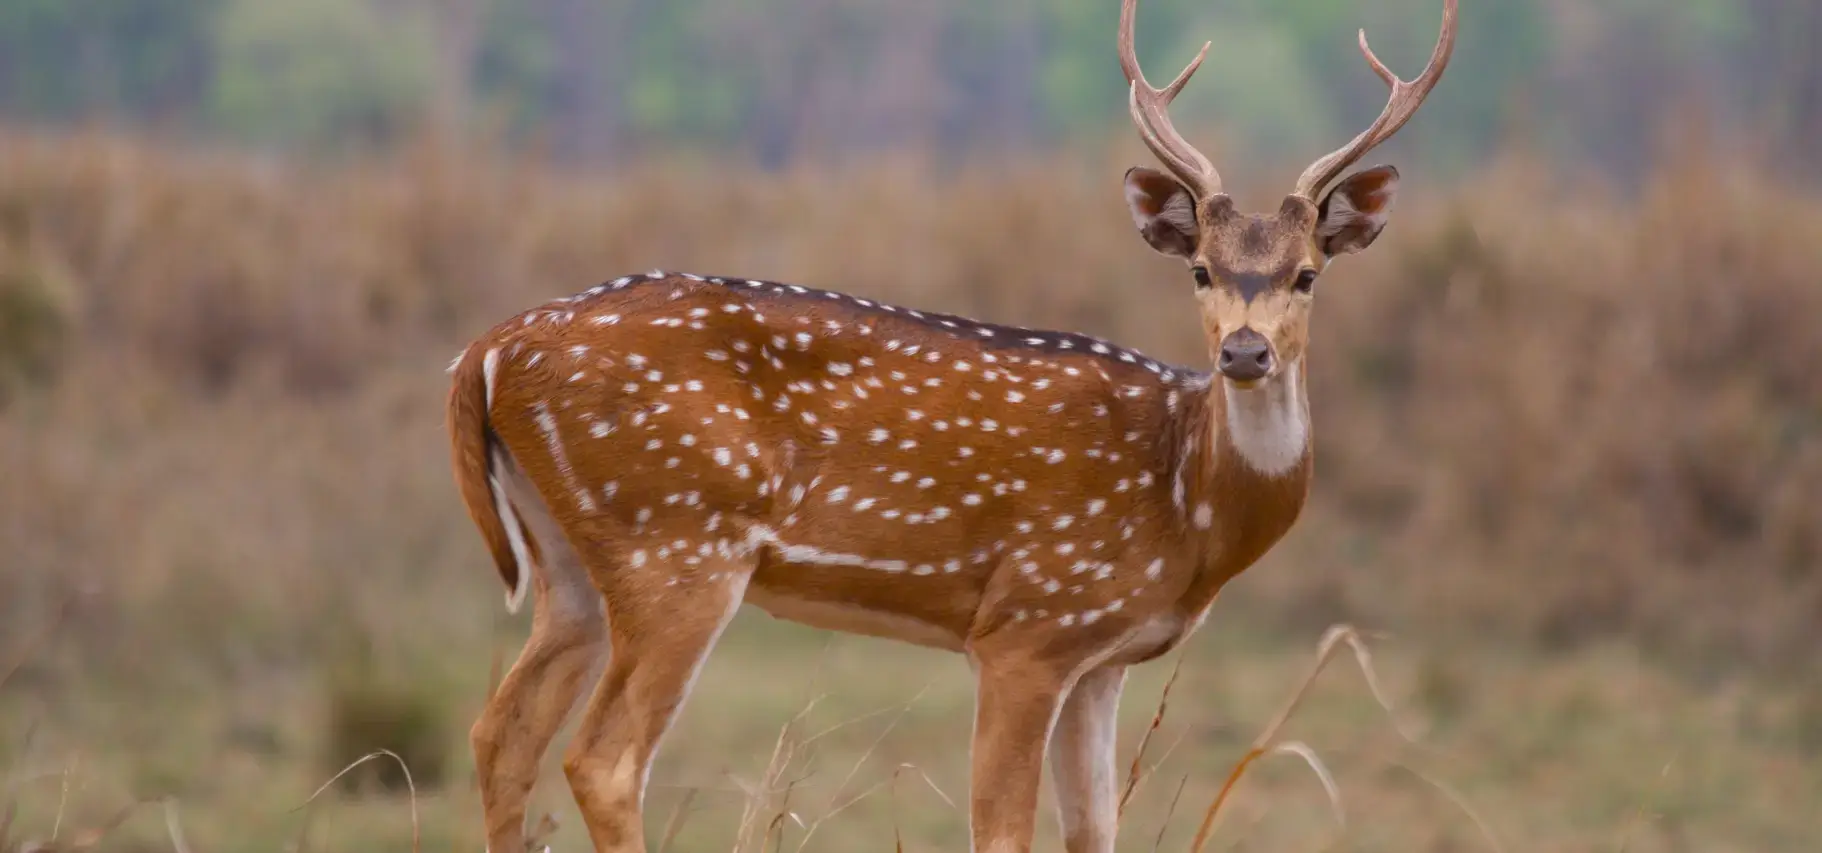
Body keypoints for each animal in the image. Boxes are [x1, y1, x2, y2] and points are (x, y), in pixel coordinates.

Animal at [448, 1, 1457, 853]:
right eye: (1202, 269)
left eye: (1307, 273)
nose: (1245, 352)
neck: (1185, 503)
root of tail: (491, 348)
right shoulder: (1028, 622)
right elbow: (1001, 829)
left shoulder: (1103, 656)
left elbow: (1093, 831)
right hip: (676, 541)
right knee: (602, 757)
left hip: (572, 560)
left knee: (501, 732)